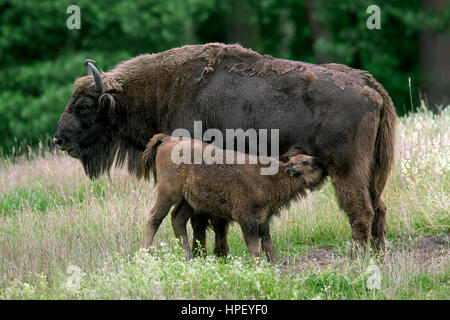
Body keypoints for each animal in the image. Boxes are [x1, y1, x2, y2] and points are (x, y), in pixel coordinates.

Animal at [142, 134, 324, 262]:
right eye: (305, 162)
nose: (320, 162)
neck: (271, 177)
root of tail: (167, 139)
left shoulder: (263, 219)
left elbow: (268, 244)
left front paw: (273, 264)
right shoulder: (247, 220)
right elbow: (254, 247)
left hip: (189, 201)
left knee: (177, 218)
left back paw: (188, 256)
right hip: (168, 193)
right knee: (155, 218)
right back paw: (146, 253)